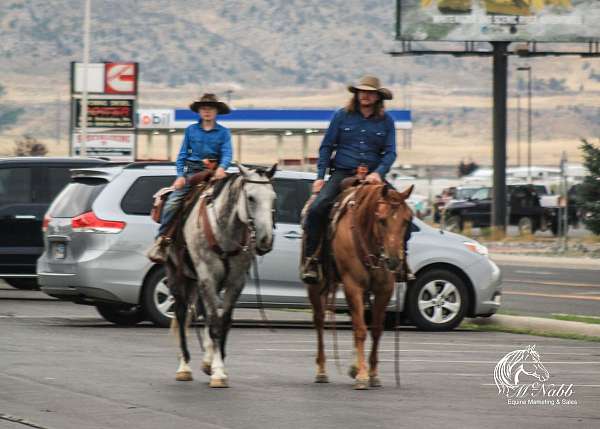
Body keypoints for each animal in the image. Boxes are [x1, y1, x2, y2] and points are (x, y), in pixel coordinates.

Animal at [164, 162, 276, 386]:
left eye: (273, 197)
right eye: (251, 197)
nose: (265, 240)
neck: (224, 231)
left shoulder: (235, 282)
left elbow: (223, 322)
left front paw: (217, 365)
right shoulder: (207, 277)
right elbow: (215, 323)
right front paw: (217, 373)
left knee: (205, 314)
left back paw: (206, 360)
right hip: (178, 277)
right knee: (181, 314)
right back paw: (184, 367)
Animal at [308, 182, 414, 390]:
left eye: (407, 220)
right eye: (381, 220)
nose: (394, 261)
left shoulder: (384, 290)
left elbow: (376, 330)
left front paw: (372, 374)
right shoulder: (353, 286)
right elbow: (361, 330)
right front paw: (363, 376)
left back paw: (353, 366)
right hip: (317, 287)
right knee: (319, 322)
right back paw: (321, 371)